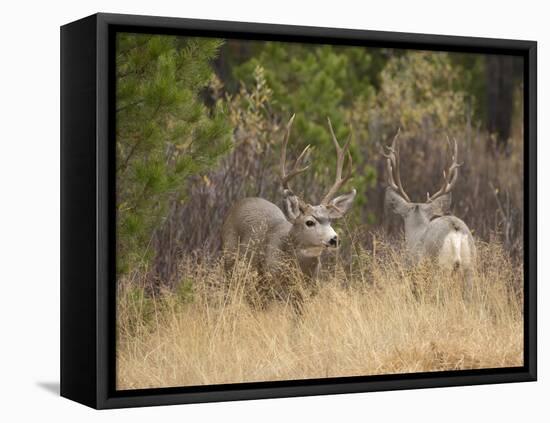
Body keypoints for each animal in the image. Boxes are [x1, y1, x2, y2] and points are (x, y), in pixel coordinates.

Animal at [221, 114, 358, 302]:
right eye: (309, 222)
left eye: (330, 221)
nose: (334, 239)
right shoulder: (271, 284)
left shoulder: (309, 292)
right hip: (230, 260)